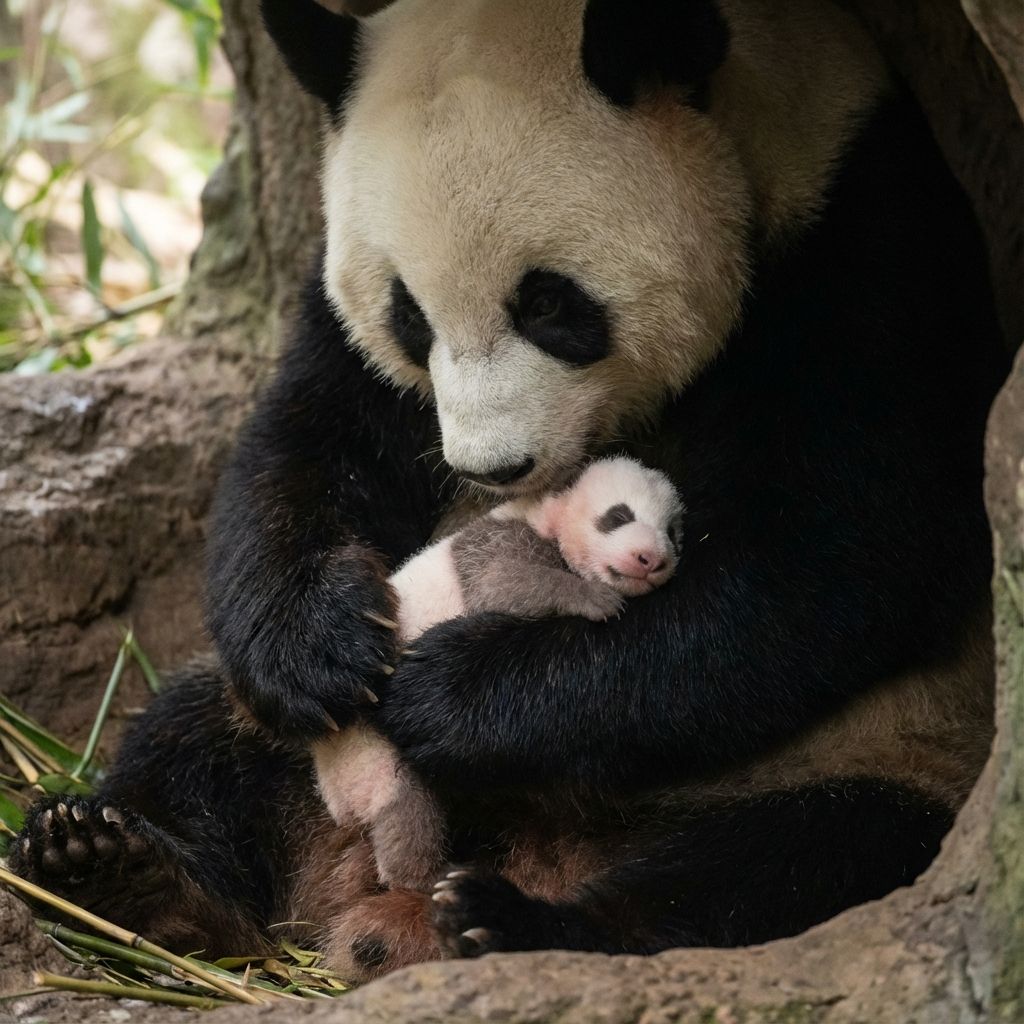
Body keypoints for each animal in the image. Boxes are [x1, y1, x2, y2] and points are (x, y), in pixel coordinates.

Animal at [12, 0, 1007, 982]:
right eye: (409, 315)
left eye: (549, 303)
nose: (493, 471)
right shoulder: (345, 335)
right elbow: (306, 447)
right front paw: (318, 645)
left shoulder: (866, 248)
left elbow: (831, 559)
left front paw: (446, 693)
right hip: (264, 741)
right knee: (194, 738)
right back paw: (118, 870)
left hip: (864, 759)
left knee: (789, 863)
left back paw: (515, 923)